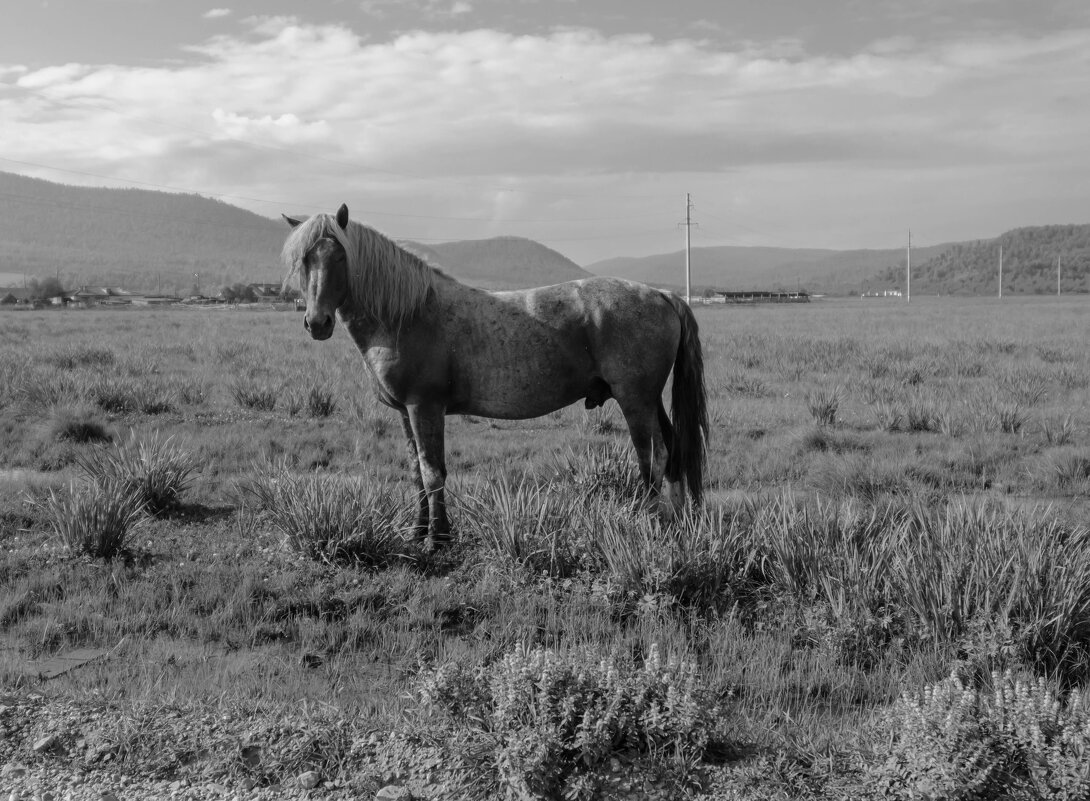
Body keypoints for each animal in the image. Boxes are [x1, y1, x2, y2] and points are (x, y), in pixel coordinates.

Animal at [281, 203, 706, 549]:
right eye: (304, 259)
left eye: (339, 255)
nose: (317, 323)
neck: (407, 315)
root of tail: (662, 295)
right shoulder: (405, 412)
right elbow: (416, 471)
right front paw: (417, 532)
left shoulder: (425, 408)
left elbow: (433, 472)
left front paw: (438, 538)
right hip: (649, 400)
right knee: (672, 451)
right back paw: (678, 525)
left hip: (635, 401)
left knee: (653, 457)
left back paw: (649, 524)